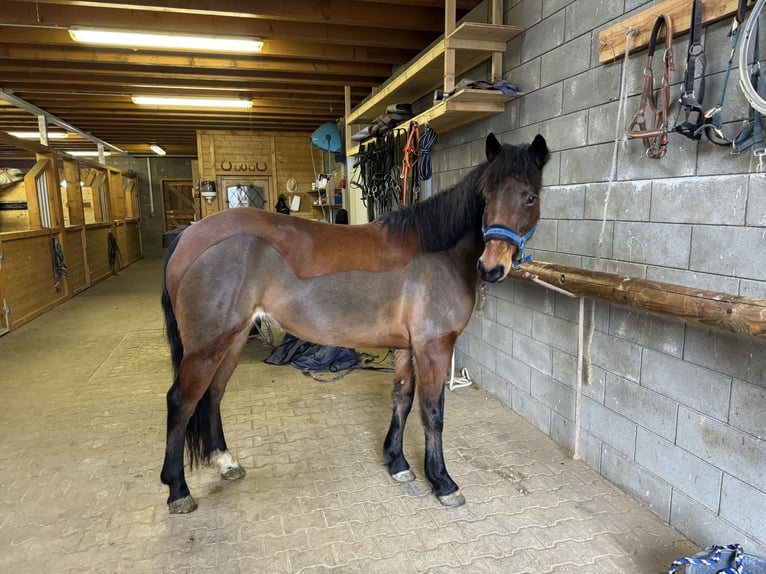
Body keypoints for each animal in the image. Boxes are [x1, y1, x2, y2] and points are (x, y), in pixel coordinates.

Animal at [162, 133, 548, 516]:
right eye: (487, 196)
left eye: (530, 196)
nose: (491, 267)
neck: (437, 251)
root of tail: (187, 237)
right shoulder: (433, 346)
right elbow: (432, 411)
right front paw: (442, 482)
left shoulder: (408, 347)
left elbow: (402, 398)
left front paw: (397, 463)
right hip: (207, 346)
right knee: (181, 401)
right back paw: (178, 490)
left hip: (235, 338)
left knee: (213, 394)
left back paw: (226, 462)